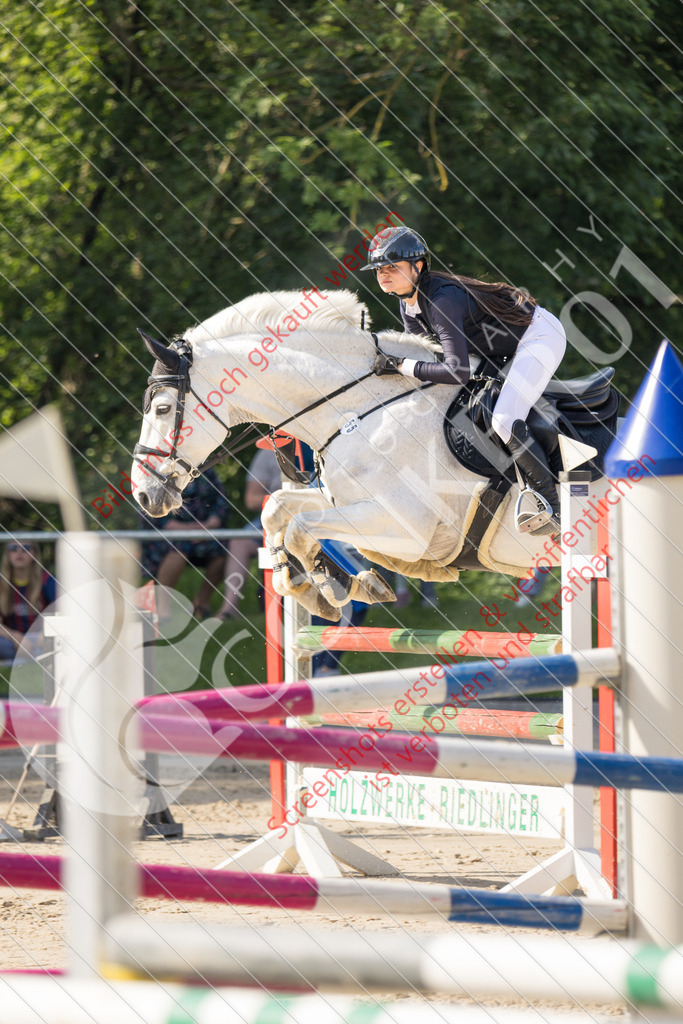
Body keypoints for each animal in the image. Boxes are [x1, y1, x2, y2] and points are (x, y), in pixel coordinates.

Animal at [129, 292, 561, 618]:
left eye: (163, 409)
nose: (143, 494)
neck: (359, 409)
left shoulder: (408, 529)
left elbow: (301, 527)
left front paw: (336, 586)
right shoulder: (346, 501)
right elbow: (278, 510)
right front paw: (315, 587)